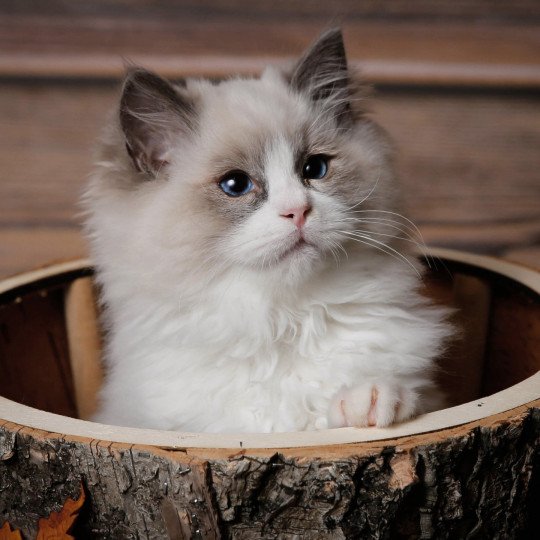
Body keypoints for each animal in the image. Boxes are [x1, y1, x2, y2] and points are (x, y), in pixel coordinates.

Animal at [84, 29, 454, 434]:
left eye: (314, 168)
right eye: (235, 185)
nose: (298, 211)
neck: (283, 321)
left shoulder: (433, 396)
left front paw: (370, 402)